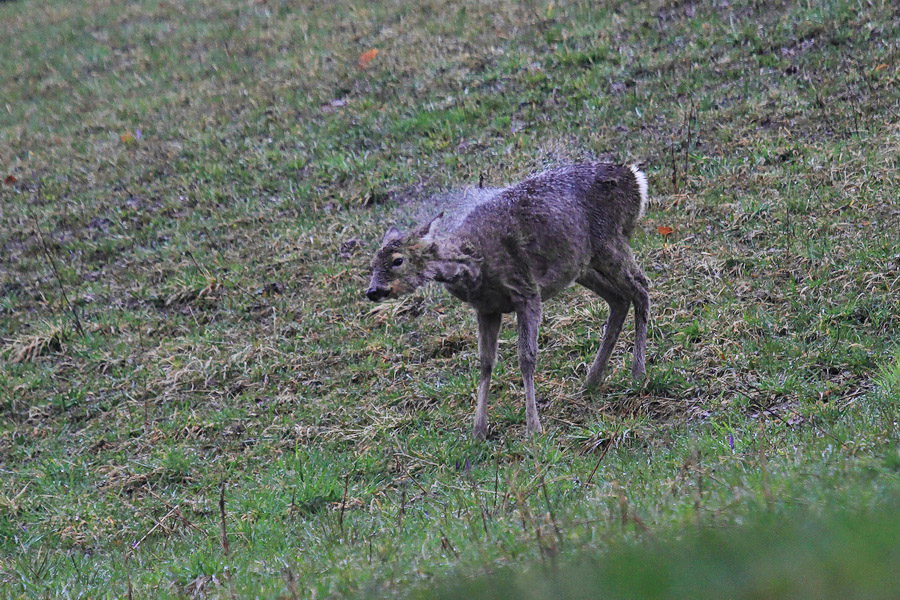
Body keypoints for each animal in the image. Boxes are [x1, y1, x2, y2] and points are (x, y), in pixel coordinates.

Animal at [362, 162, 652, 438]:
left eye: (398, 260)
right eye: (372, 264)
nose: (373, 291)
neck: (476, 262)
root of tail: (635, 178)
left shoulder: (527, 292)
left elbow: (526, 357)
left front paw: (533, 428)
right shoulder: (487, 308)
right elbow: (485, 363)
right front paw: (478, 432)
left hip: (609, 240)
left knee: (641, 286)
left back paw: (638, 372)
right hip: (582, 264)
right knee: (619, 299)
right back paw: (592, 380)